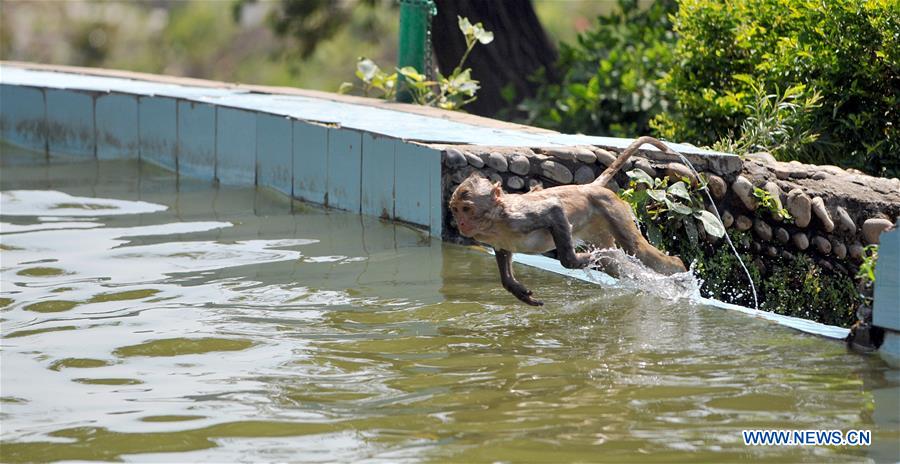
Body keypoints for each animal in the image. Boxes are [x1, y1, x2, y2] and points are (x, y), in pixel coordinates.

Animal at [450, 136, 688, 306]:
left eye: (466, 209)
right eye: (455, 210)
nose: (461, 223)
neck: (494, 221)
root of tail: (588, 187)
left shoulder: (517, 217)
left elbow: (554, 210)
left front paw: (574, 260)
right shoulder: (494, 237)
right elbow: (503, 253)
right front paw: (517, 289)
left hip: (612, 210)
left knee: (636, 250)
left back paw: (679, 269)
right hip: (598, 227)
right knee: (615, 263)